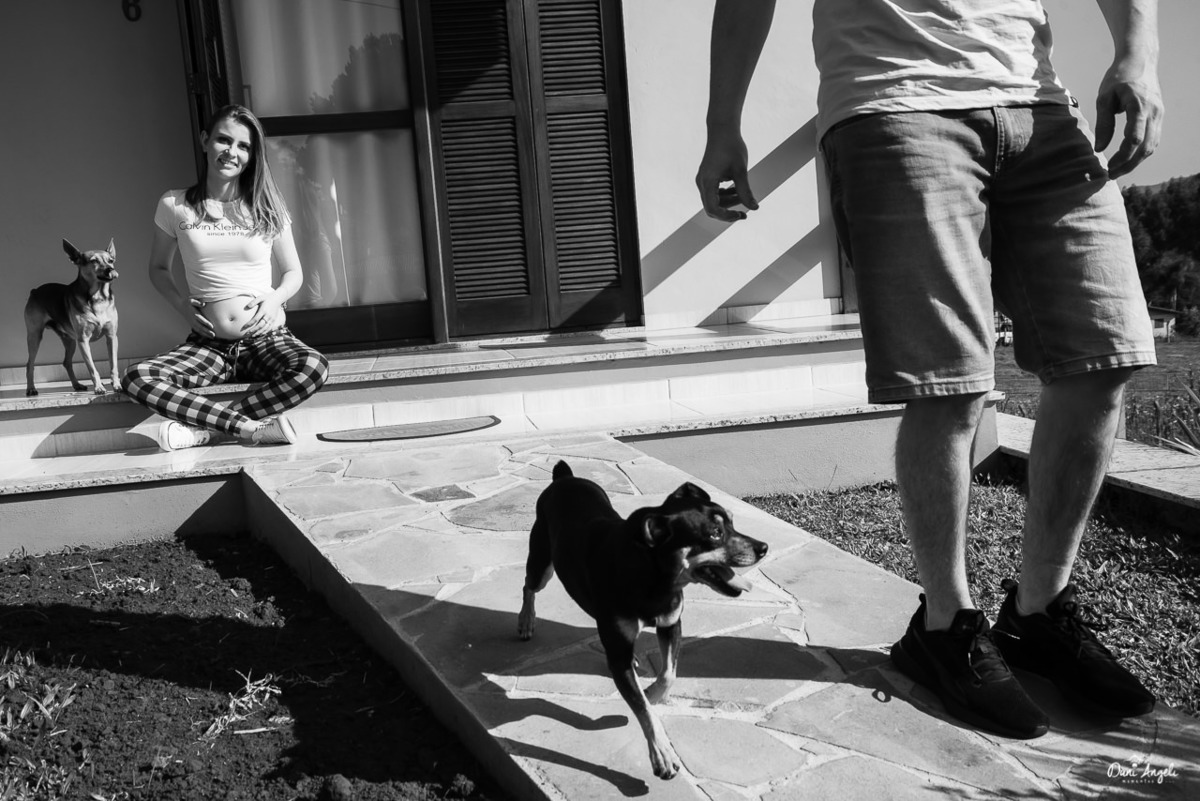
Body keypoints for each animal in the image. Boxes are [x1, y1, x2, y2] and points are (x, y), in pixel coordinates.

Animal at [25, 239, 119, 396]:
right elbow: (92, 368)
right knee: (29, 364)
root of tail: (35, 291)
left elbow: (113, 364)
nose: (111, 269)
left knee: (67, 362)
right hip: (35, 336)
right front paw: (99, 387)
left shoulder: (111, 337)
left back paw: (76, 385)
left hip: (69, 341)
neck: (98, 298)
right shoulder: (83, 341)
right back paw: (31, 388)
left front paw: (117, 384)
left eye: (111, 260)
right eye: (94, 261)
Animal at [518, 461, 768, 779]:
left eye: (733, 523)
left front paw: (652, 692)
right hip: (542, 562)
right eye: (714, 533)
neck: (655, 579)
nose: (763, 547)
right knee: (529, 586)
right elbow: (641, 707)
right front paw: (662, 754)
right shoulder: (619, 656)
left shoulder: (670, 623)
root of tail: (564, 477)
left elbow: (668, 674)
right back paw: (525, 621)